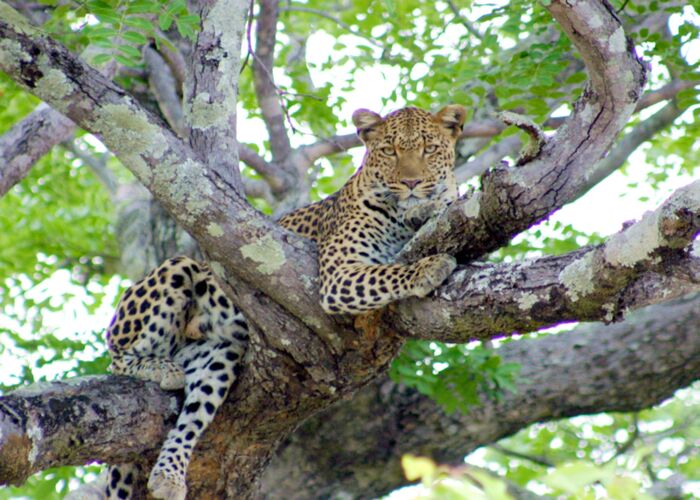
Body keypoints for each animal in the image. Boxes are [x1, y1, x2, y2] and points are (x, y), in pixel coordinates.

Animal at [101, 104, 465, 500]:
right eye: (389, 151)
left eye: (430, 149)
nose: (412, 183)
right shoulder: (337, 276)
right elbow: (388, 272)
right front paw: (430, 266)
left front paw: (436, 205)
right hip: (179, 269)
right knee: (118, 357)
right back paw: (159, 368)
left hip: (218, 353)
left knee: (192, 414)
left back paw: (168, 476)